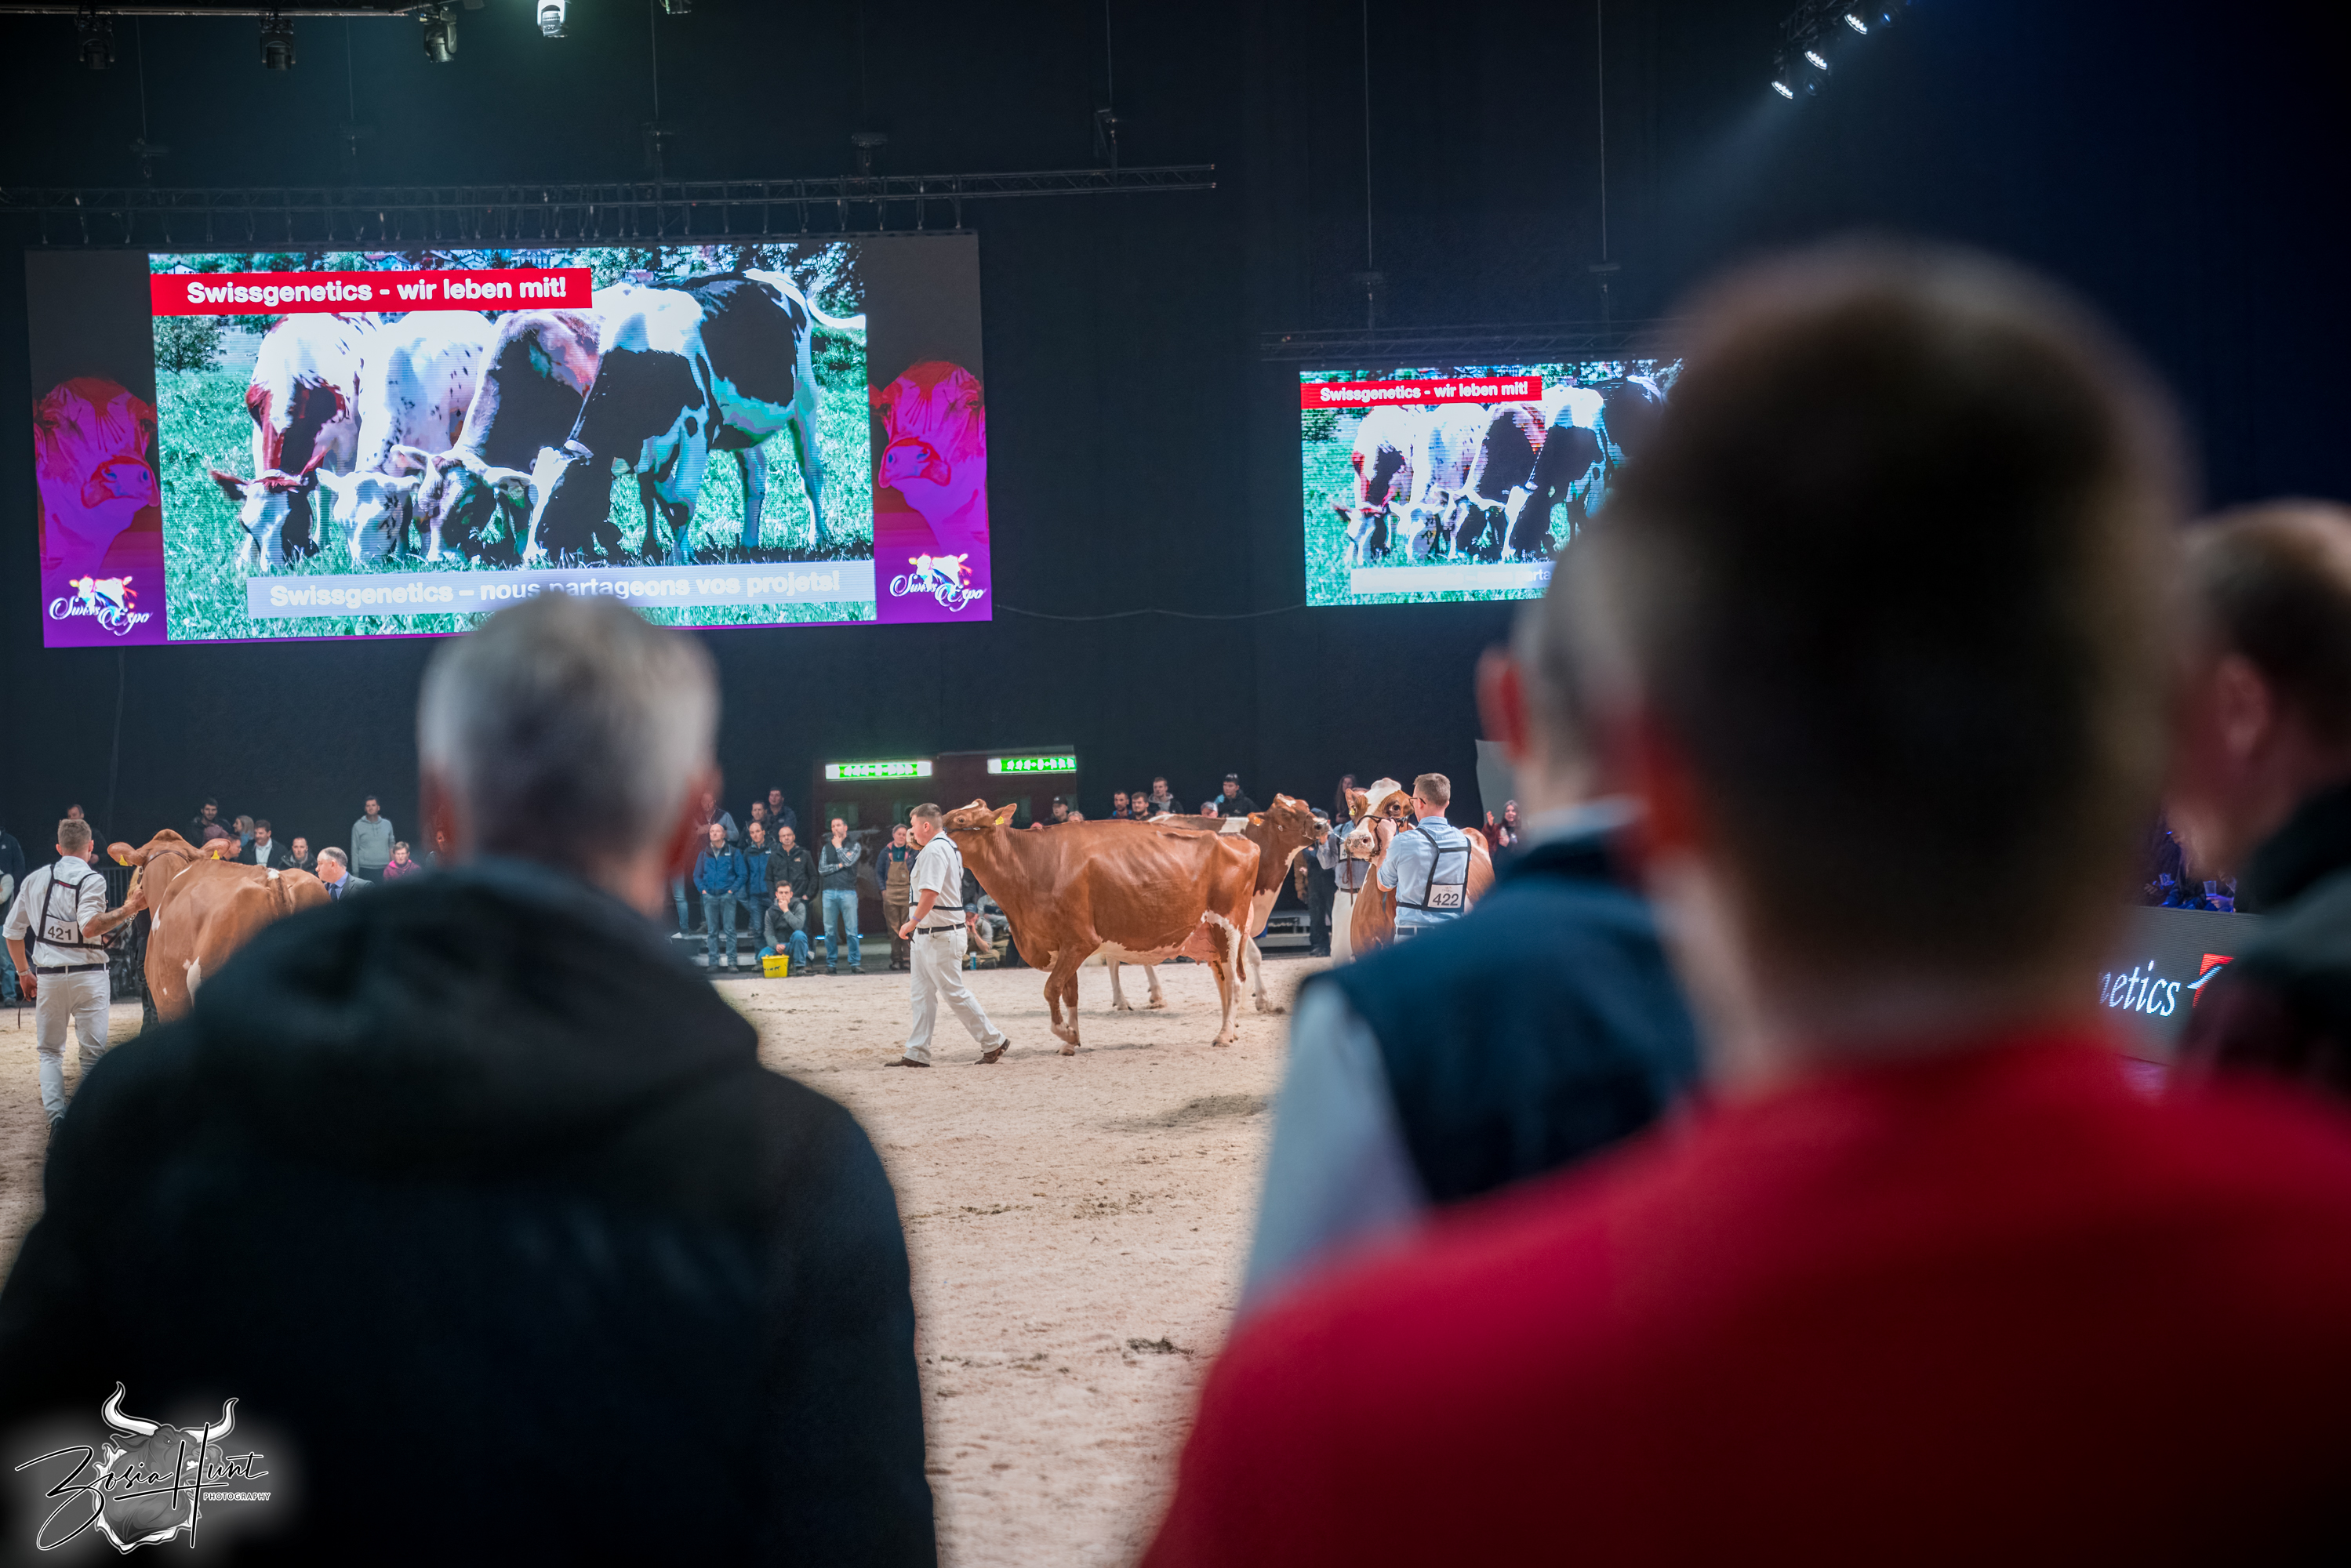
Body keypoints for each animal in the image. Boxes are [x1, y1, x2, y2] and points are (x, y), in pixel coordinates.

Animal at [207, 313, 373, 569]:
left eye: (293, 519)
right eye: (246, 525)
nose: (272, 569)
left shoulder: (345, 439)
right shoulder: (258, 431)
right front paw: (246, 557)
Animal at [527, 273, 861, 564]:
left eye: (562, 496)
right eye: (532, 498)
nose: (533, 556)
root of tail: (775, 277)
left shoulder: (696, 428)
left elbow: (683, 499)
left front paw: (680, 558)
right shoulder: (653, 444)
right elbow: (659, 496)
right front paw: (660, 549)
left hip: (805, 398)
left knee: (811, 470)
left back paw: (817, 538)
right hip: (742, 425)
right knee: (755, 475)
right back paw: (749, 542)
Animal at [945, 801, 1261, 1050]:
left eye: (960, 821)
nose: (930, 833)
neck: (1029, 863)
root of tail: (1240, 839)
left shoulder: (1081, 940)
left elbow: (1051, 989)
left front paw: (1065, 1034)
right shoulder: (1064, 945)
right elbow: (1069, 993)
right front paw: (1070, 1041)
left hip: (1228, 927)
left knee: (1235, 981)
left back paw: (1224, 1035)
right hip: (1210, 937)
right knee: (1223, 981)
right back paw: (1229, 1031)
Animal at [1102, 795, 1328, 1016]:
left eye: (1306, 805)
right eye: (1284, 813)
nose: (1322, 824)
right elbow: (1253, 956)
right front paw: (1261, 1000)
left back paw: (1156, 996)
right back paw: (1121, 1001)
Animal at [1329, 404, 1420, 568]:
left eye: (1375, 533)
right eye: (1350, 536)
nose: (1361, 564)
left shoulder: (1406, 482)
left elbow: (1400, 515)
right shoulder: (1358, 478)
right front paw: (1348, 558)